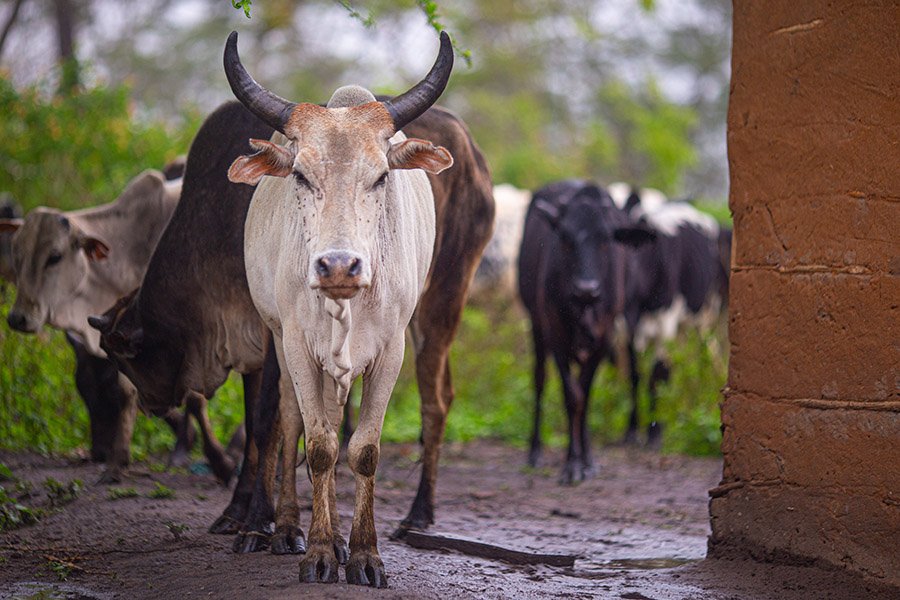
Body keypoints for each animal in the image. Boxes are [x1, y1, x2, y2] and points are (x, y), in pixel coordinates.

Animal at [222, 31, 454, 584]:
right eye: (301, 176)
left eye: (381, 177)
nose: (339, 266)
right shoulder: (298, 348)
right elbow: (319, 446)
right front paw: (321, 552)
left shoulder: (390, 352)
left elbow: (363, 451)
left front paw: (365, 554)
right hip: (280, 344)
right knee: (291, 423)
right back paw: (286, 528)